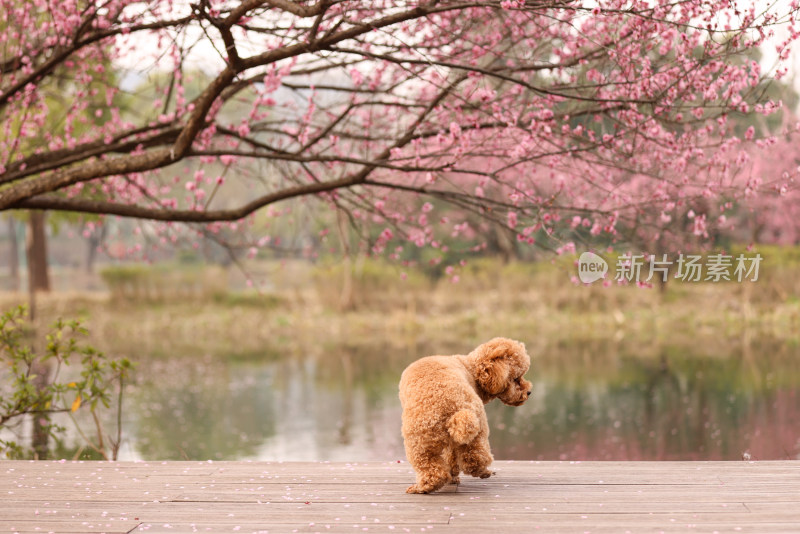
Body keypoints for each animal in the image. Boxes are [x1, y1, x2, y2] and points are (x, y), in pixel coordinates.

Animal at [398, 340, 532, 494]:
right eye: (516, 378)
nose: (529, 392)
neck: (470, 369)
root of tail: (454, 406)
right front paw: (453, 477)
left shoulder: (451, 442)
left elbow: (450, 458)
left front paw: (452, 476)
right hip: (466, 433)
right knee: (472, 459)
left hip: (420, 443)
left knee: (439, 470)